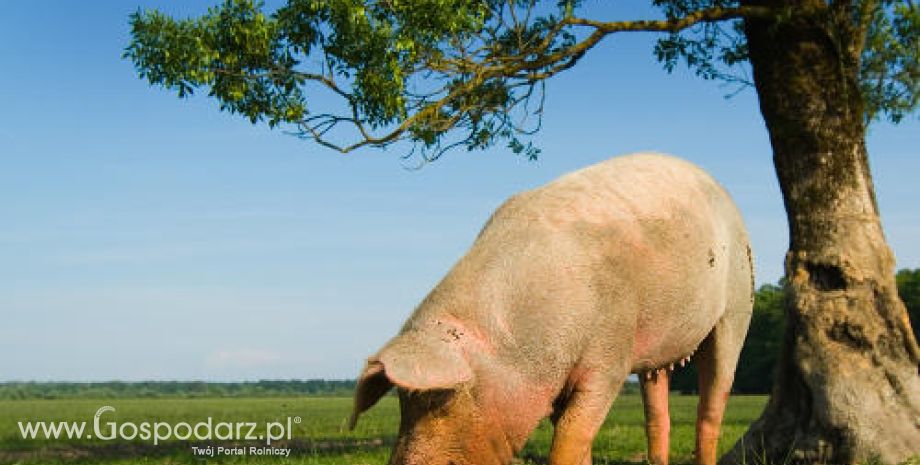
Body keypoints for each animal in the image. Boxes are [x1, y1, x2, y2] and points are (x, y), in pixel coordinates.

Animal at [348, 152, 752, 464]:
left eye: (440, 399)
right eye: (403, 401)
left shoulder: (610, 353)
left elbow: (572, 436)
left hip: (737, 303)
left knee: (712, 406)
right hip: (659, 349)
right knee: (657, 415)